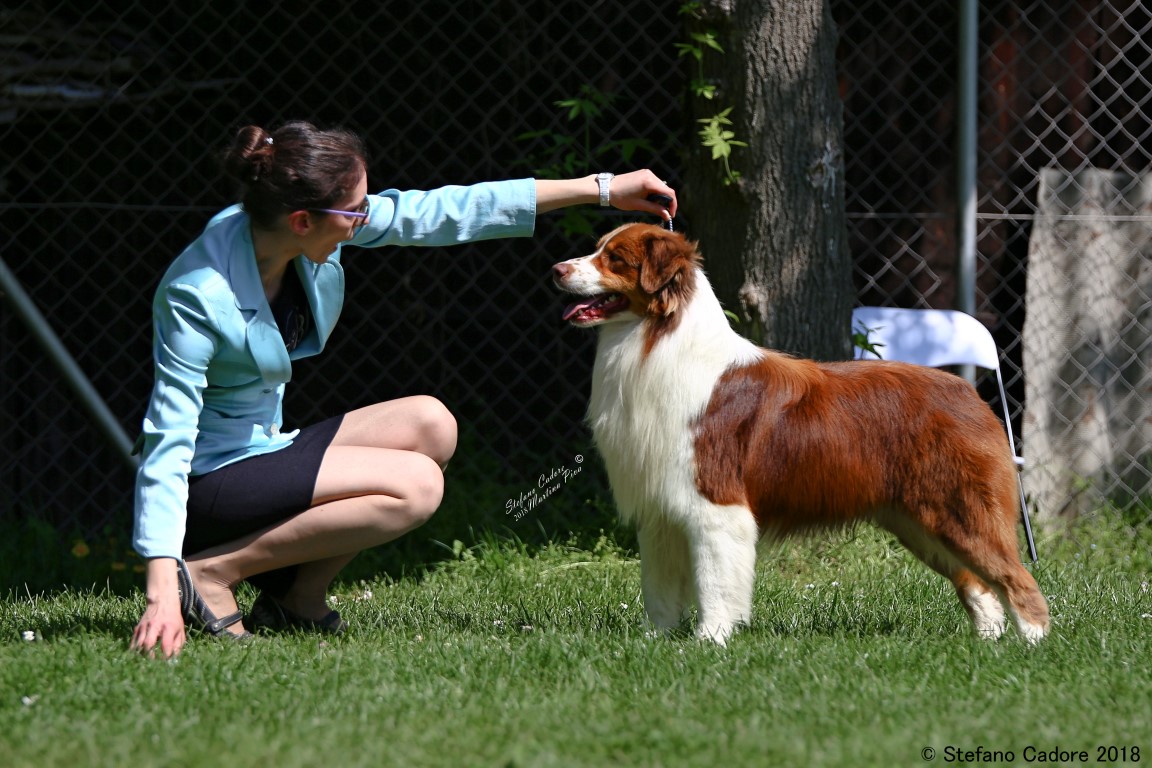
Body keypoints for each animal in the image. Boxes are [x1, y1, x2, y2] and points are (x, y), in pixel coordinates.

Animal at [552, 223, 1050, 649]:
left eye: (615, 258)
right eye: (598, 248)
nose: (556, 269)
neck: (653, 339)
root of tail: (969, 392)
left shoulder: (715, 504)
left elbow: (715, 582)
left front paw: (709, 642)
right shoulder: (660, 511)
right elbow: (658, 589)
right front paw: (652, 642)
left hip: (960, 508)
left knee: (1017, 578)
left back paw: (1034, 645)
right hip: (920, 520)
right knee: (977, 582)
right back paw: (988, 642)